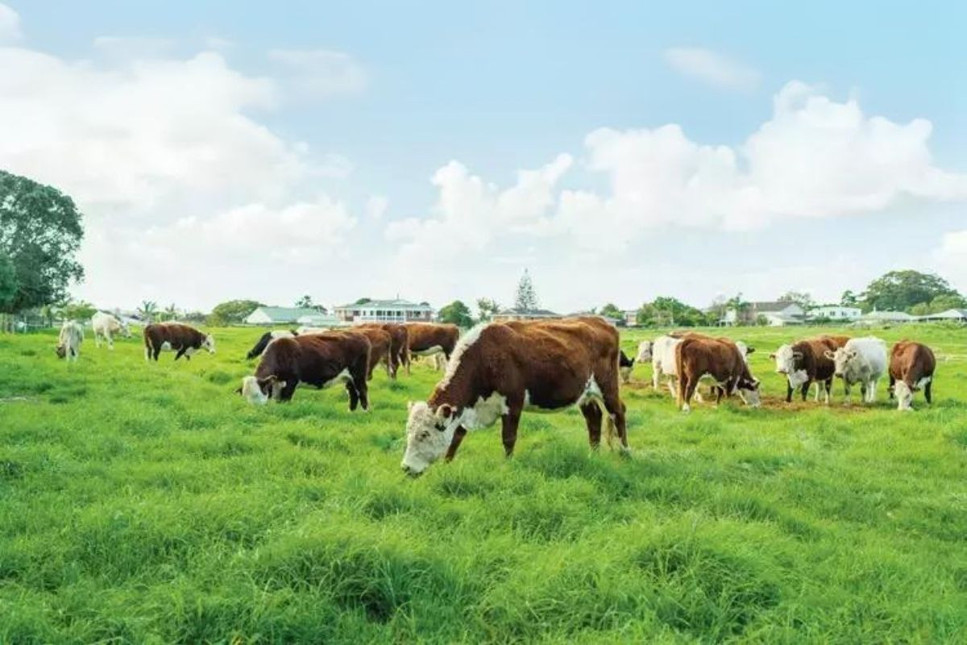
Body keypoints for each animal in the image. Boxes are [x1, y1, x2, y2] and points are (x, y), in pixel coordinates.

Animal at [240, 330, 372, 410]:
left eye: (257, 394)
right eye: (245, 396)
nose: (255, 411)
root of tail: (360, 335)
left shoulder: (291, 381)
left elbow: (285, 399)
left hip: (359, 375)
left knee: (362, 391)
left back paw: (365, 411)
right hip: (348, 377)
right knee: (352, 392)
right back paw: (351, 412)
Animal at [400, 314, 628, 476]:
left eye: (424, 434)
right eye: (408, 431)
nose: (406, 467)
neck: (484, 357)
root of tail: (602, 322)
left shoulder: (513, 402)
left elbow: (508, 438)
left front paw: (507, 466)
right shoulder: (469, 406)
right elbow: (457, 436)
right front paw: (447, 464)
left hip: (608, 386)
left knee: (618, 413)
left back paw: (626, 452)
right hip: (585, 393)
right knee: (594, 418)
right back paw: (593, 455)